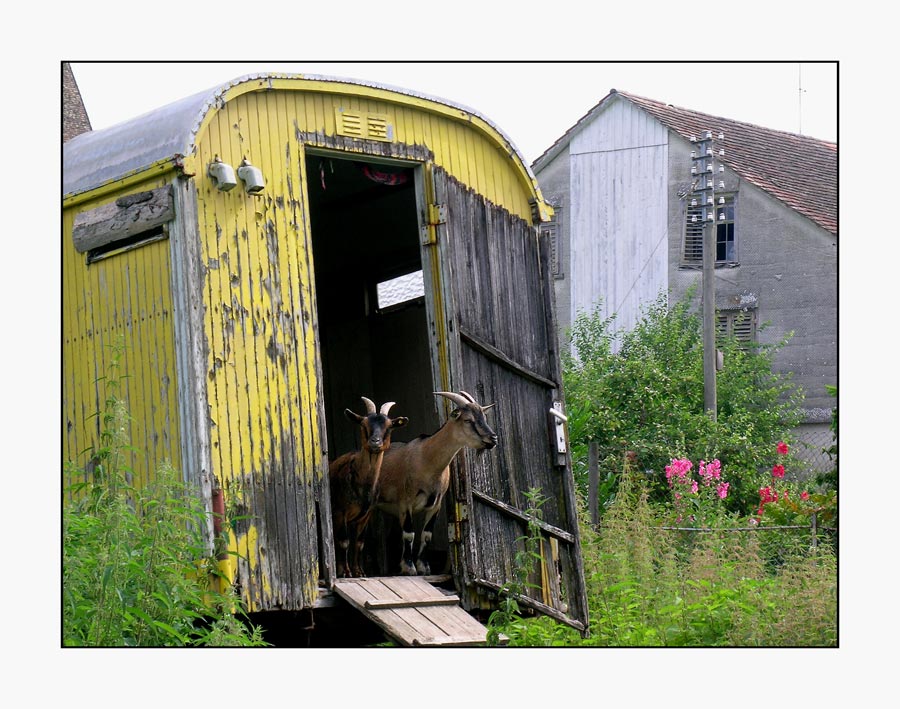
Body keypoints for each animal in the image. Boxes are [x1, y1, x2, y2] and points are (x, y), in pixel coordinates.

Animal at [328, 396, 410, 580]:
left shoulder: (366, 515)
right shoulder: (340, 512)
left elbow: (359, 543)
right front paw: (345, 572)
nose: (375, 442)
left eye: (389, 426)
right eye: (364, 424)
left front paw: (358, 571)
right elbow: (344, 542)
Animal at [374, 390, 500, 580]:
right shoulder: (406, 502)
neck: (427, 459)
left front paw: (424, 567)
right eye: (468, 420)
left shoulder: (435, 505)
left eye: (484, 417)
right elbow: (409, 534)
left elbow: (426, 535)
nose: (492, 438)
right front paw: (409, 568)